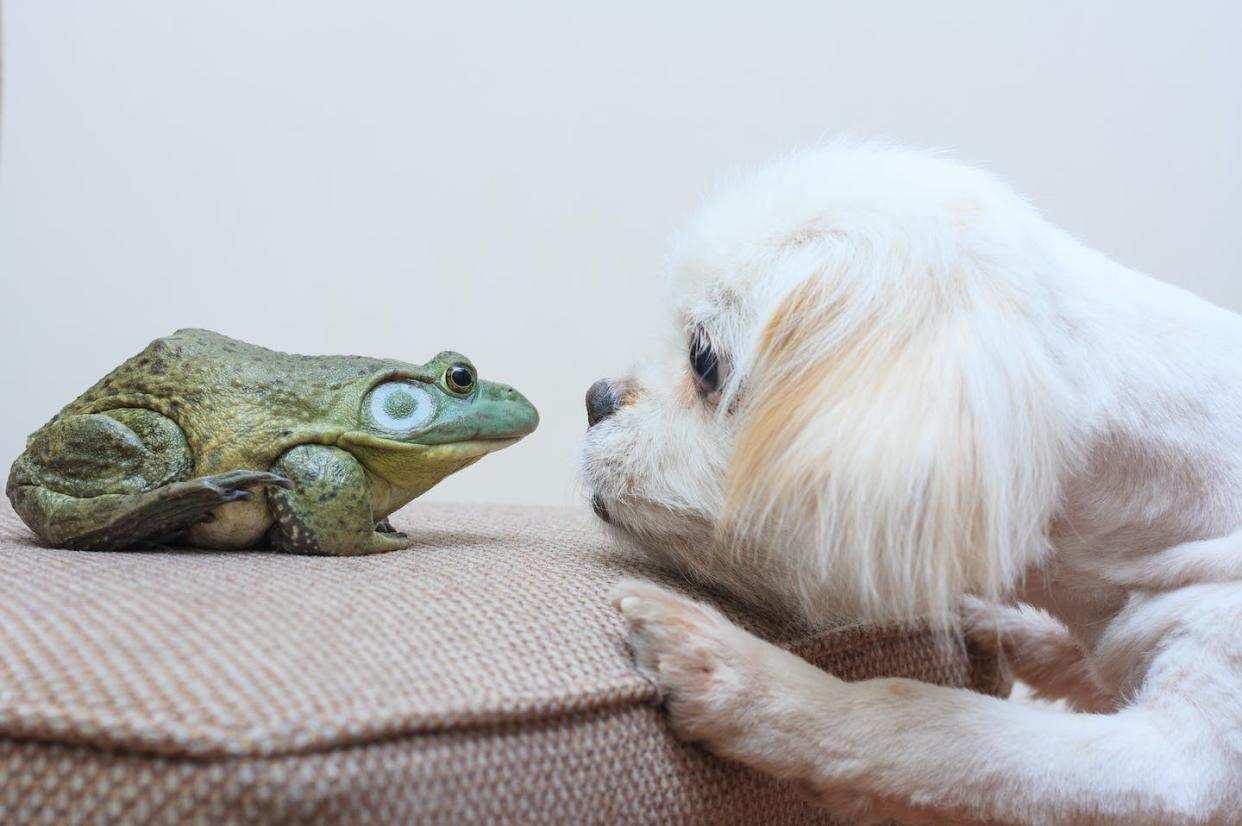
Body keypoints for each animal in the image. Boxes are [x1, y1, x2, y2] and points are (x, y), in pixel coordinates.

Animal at [578, 143, 1242, 824]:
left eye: (704, 360)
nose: (594, 399)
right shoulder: (1099, 658)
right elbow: (1057, 650)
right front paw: (975, 611)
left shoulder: (1178, 769)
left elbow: (912, 719)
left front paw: (739, 675)